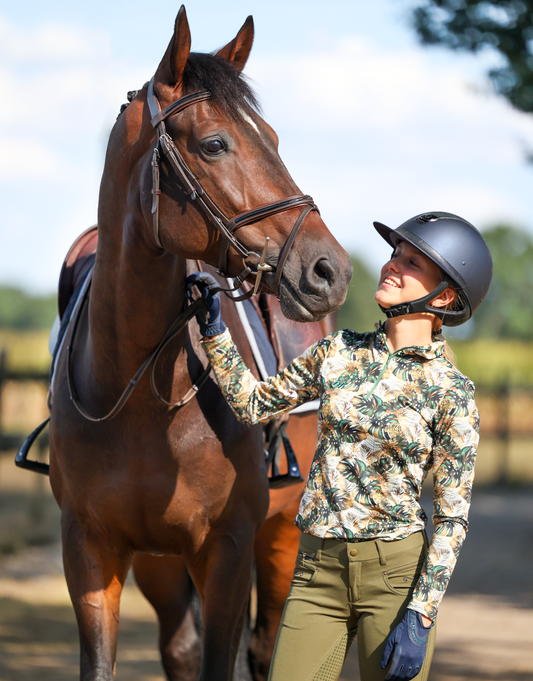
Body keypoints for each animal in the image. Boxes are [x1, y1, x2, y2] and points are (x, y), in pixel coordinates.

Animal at [47, 6, 352, 680]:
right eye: (215, 144)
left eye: (273, 138)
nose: (329, 269)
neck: (138, 391)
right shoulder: (90, 547)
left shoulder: (228, 548)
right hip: (160, 563)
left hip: (282, 535)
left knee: (263, 648)